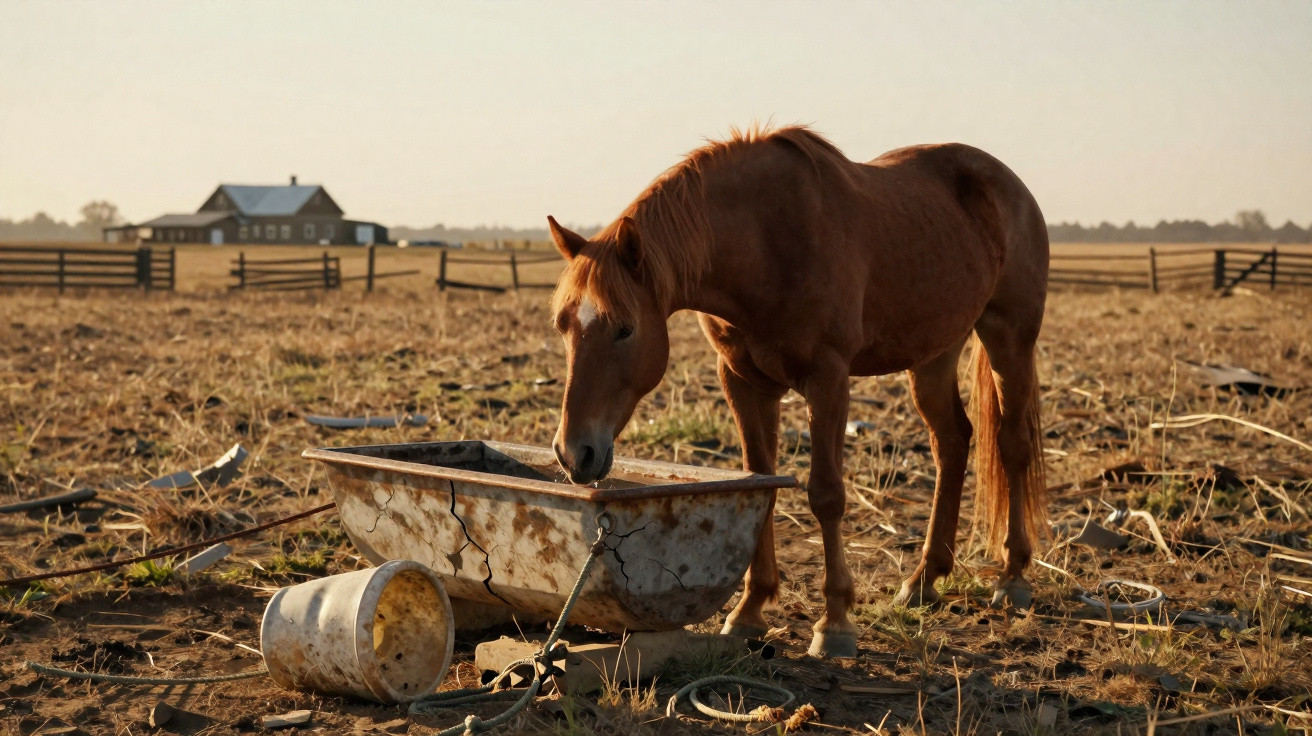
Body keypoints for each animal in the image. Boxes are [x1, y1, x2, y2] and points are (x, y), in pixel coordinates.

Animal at [546, 125, 1048, 658]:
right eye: (562, 325)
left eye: (624, 329)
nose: (574, 453)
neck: (765, 243)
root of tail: (1010, 186)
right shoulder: (743, 381)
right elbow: (759, 484)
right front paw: (749, 610)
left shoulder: (827, 379)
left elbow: (826, 495)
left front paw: (835, 623)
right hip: (934, 354)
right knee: (951, 443)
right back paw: (924, 578)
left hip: (1009, 337)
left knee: (1013, 445)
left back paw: (1013, 576)